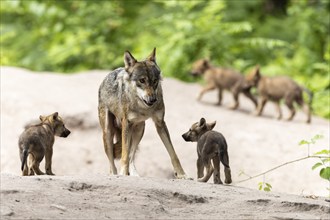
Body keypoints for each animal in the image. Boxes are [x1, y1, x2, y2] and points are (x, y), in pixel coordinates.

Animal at [97, 48, 188, 179]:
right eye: (142, 80)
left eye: (155, 81)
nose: (153, 99)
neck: (143, 107)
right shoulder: (126, 123)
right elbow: (124, 156)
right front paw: (122, 173)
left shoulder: (160, 123)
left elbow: (173, 153)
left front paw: (181, 174)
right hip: (108, 133)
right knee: (113, 163)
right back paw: (115, 174)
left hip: (139, 129)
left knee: (131, 156)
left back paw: (134, 175)